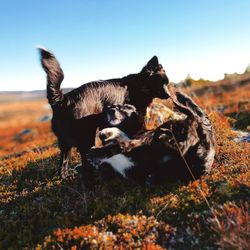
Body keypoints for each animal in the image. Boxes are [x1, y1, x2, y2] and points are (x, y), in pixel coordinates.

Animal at [38, 47, 168, 187]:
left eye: (167, 83)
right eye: (161, 82)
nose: (169, 95)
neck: (140, 84)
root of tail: (63, 101)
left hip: (64, 144)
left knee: (63, 163)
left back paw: (66, 177)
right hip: (86, 139)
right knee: (86, 166)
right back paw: (91, 183)